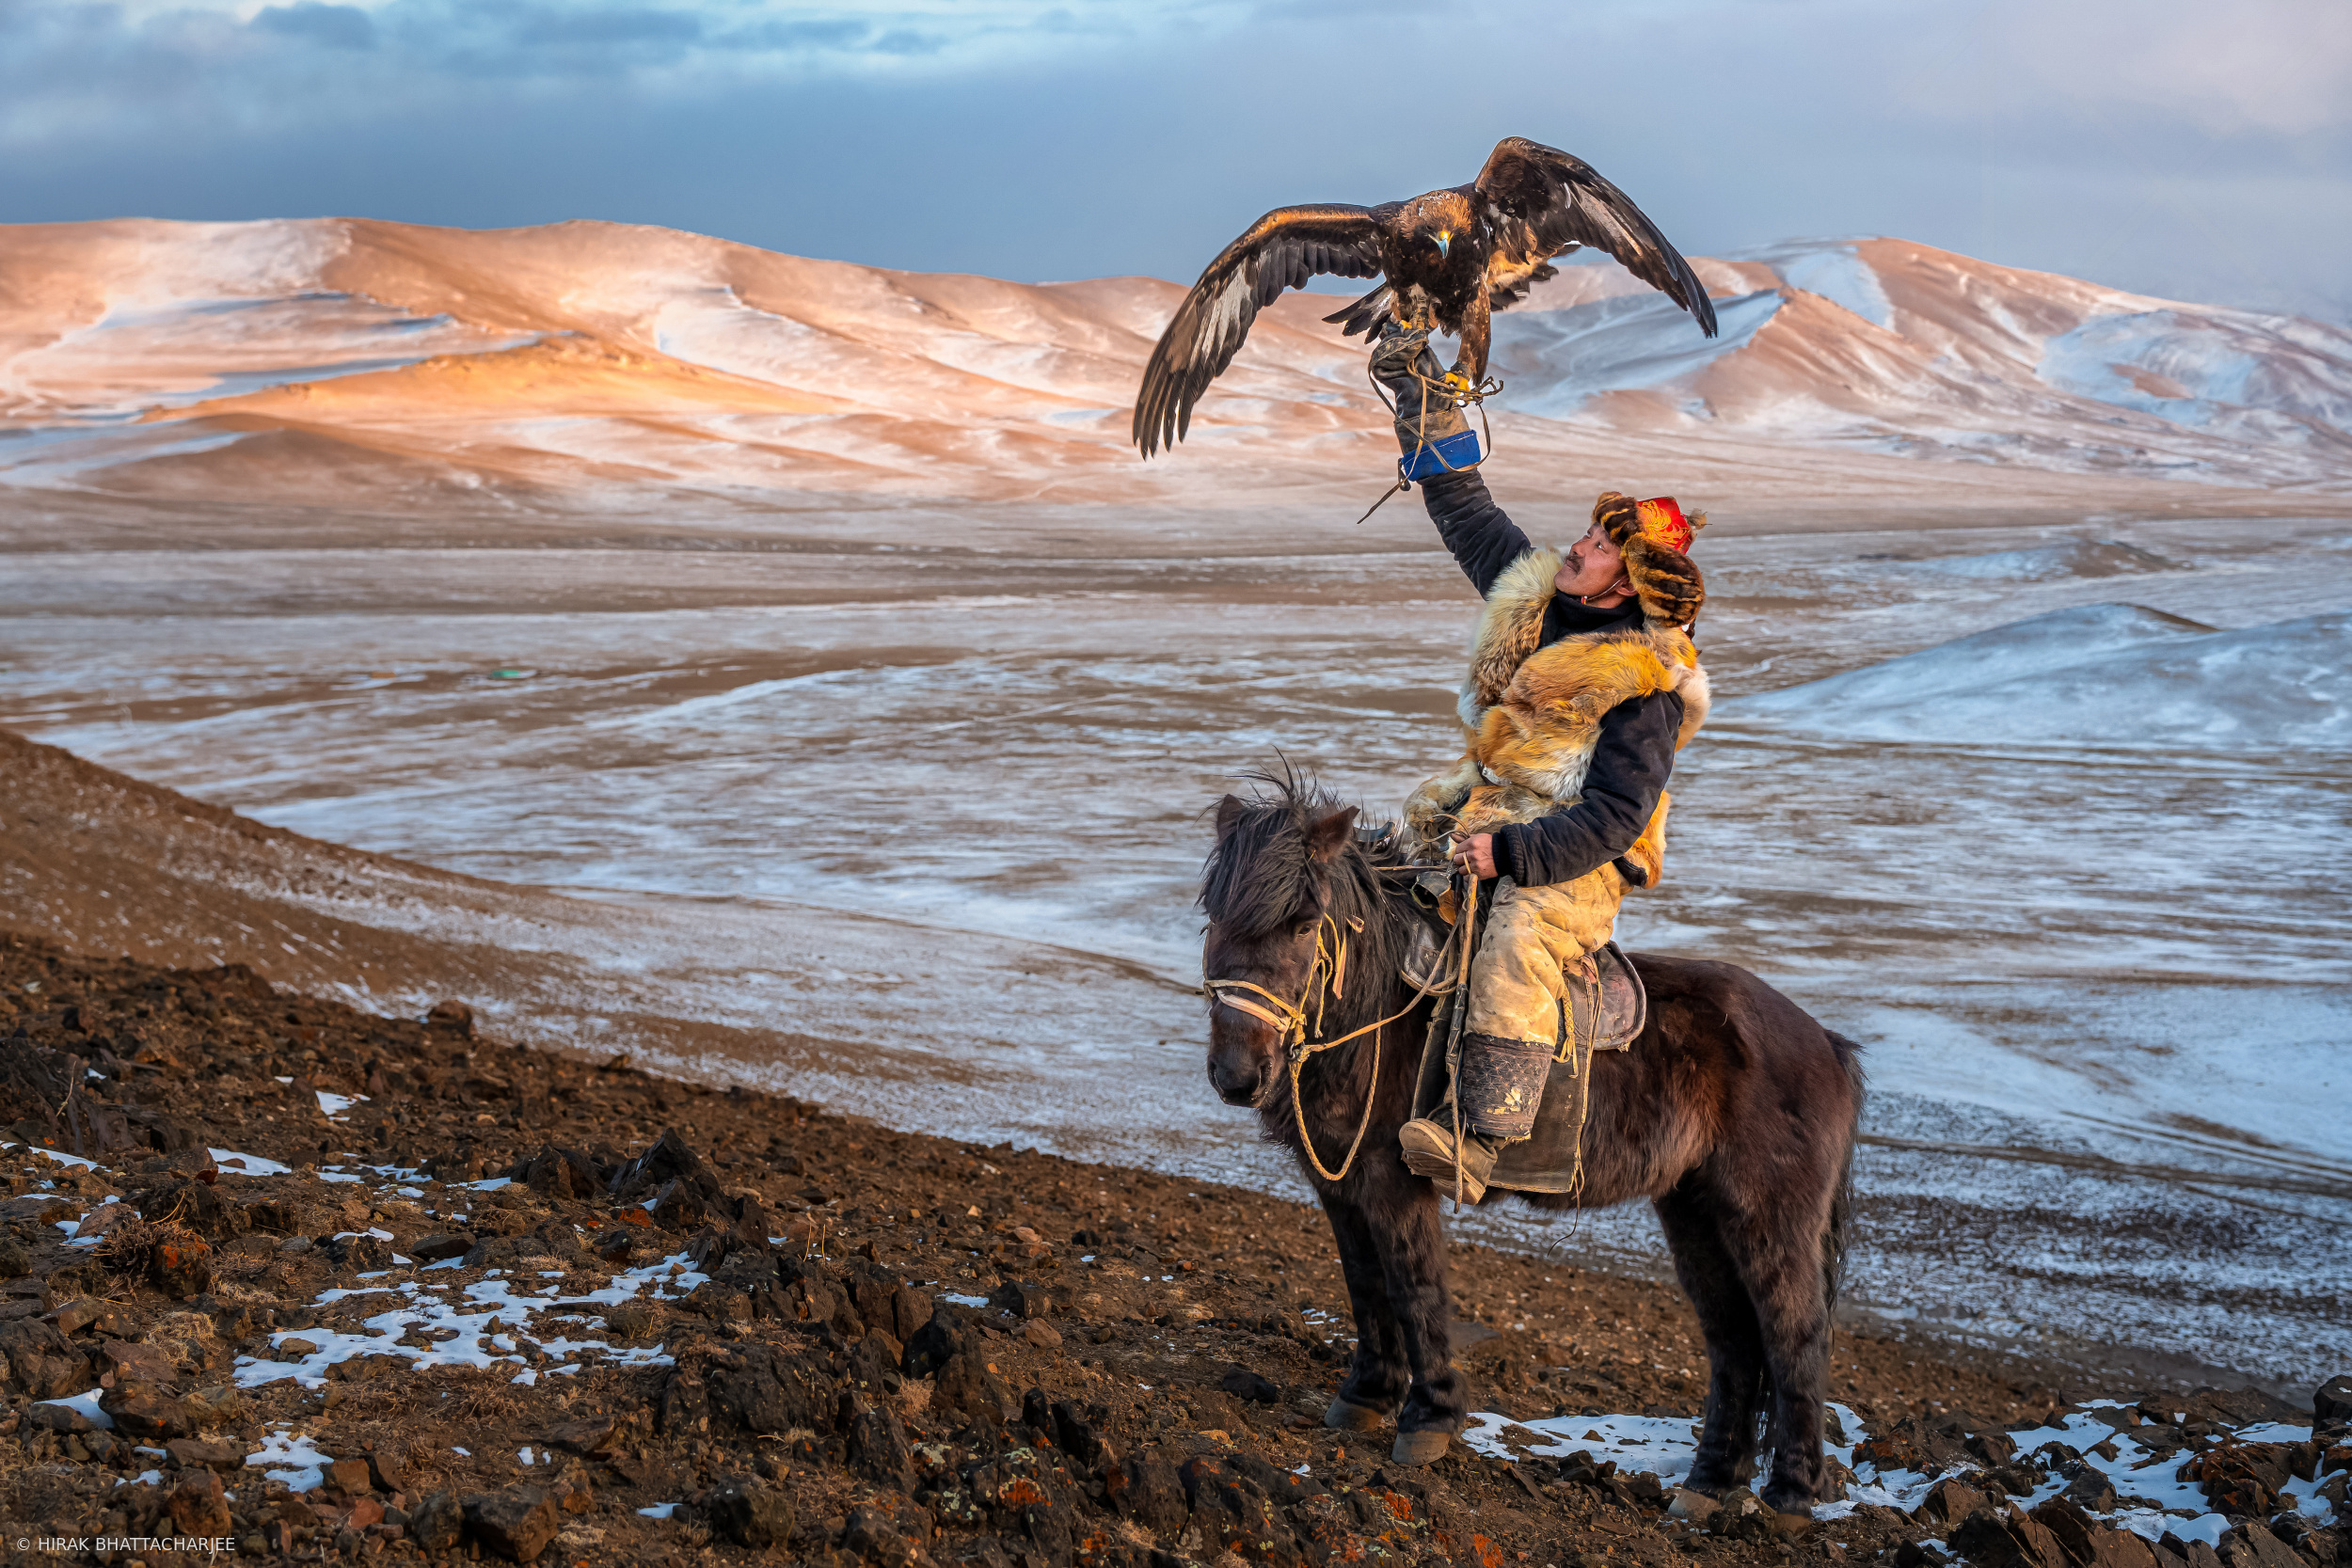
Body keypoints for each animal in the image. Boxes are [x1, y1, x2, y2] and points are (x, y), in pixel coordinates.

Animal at [1204, 780, 1863, 1513]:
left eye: (1301, 922)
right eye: (1212, 914)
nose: (1237, 1075)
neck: (1375, 1010)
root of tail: (1825, 1043)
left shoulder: (1393, 1183)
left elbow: (1413, 1287)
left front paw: (1428, 1419)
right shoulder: (1341, 1188)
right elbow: (1365, 1286)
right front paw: (1365, 1396)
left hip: (1767, 1221)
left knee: (1793, 1336)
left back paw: (1789, 1497)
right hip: (1696, 1216)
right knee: (1734, 1344)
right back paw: (1707, 1487)